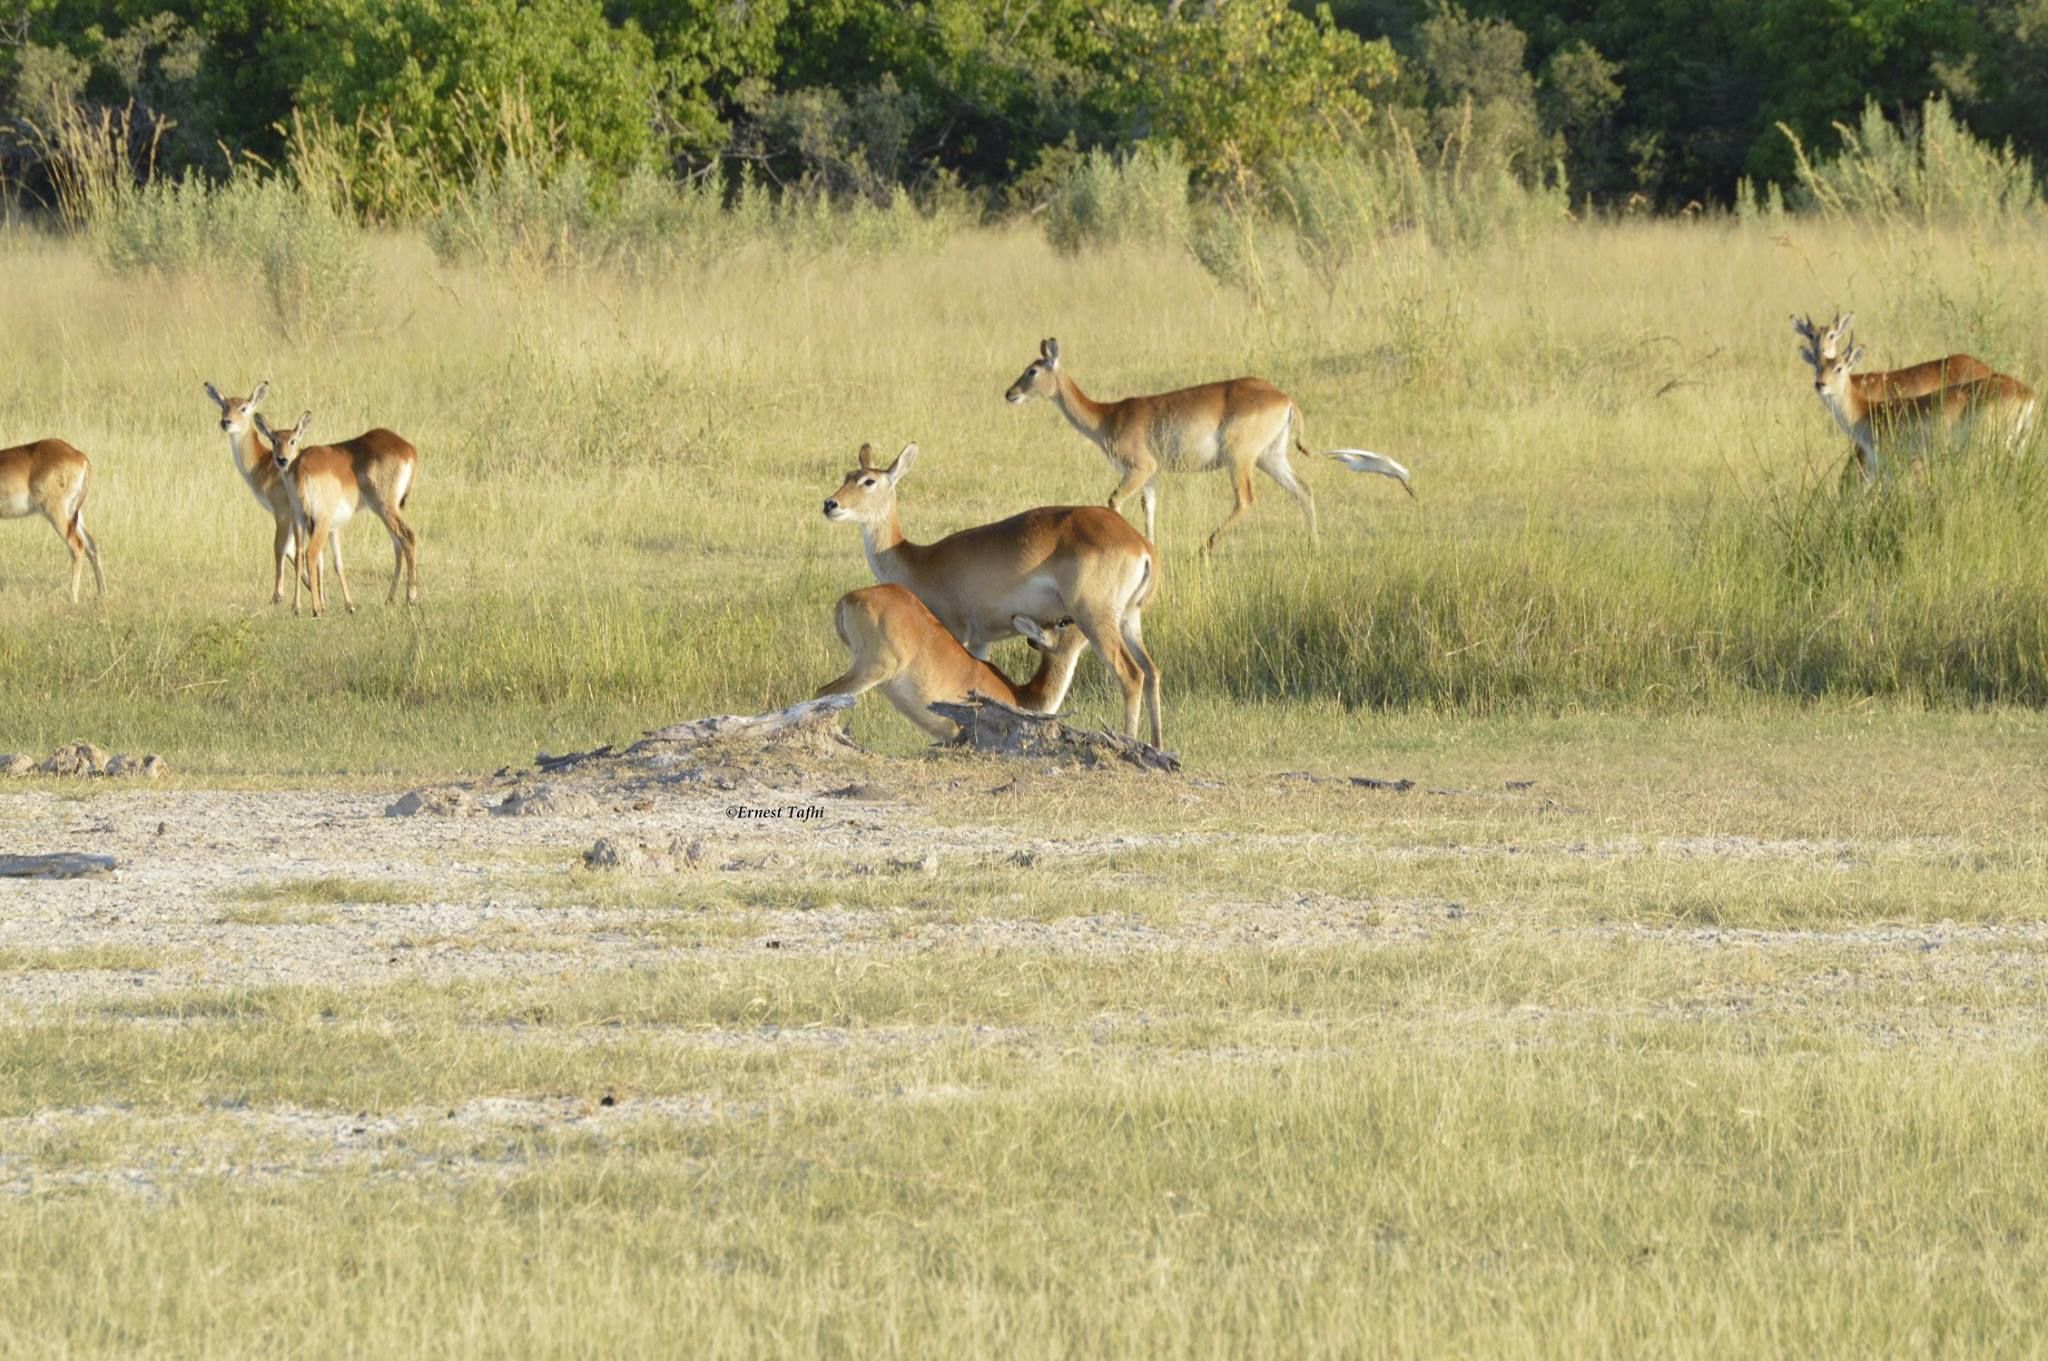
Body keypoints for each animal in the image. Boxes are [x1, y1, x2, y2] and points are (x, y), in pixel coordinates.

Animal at [1, 438, 105, 602]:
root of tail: (80, 456)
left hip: (56, 513)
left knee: (77, 546)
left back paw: (73, 598)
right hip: (74, 514)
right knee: (92, 546)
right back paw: (102, 594)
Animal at [254, 410, 421, 617]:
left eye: (293, 440)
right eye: (273, 440)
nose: (281, 459)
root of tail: (408, 449)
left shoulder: (325, 525)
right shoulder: (311, 522)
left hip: (380, 510)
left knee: (407, 538)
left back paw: (409, 598)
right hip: (378, 511)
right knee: (399, 543)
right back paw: (394, 599)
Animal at [1003, 337, 1412, 550]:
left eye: (1032, 370)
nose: (1010, 394)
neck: (1108, 415)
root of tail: (1284, 398)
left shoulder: (1139, 469)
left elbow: (1114, 501)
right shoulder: (1153, 476)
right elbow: (1150, 511)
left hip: (1240, 460)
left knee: (1246, 499)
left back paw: (1206, 546)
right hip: (1270, 458)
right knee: (1303, 489)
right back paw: (1314, 545)